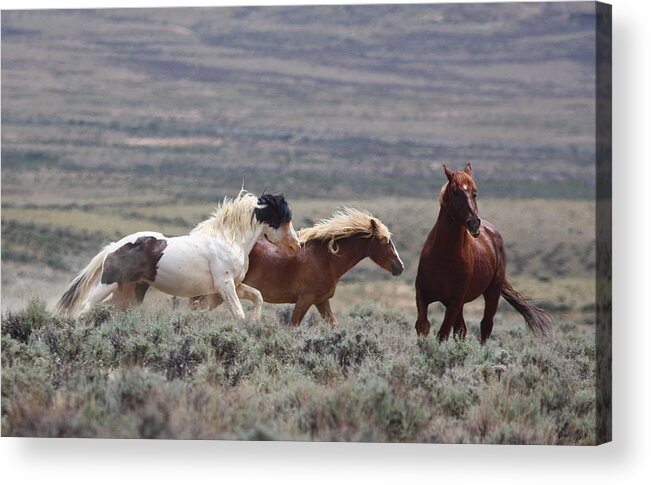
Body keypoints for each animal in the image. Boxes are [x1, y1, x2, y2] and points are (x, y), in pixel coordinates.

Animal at [56, 190, 300, 322]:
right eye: (284, 218)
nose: (296, 246)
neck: (229, 240)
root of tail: (113, 247)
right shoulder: (225, 285)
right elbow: (239, 314)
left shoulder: (235, 285)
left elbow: (258, 297)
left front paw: (255, 322)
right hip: (108, 284)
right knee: (84, 308)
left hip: (129, 293)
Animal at [191, 208, 402, 326]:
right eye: (385, 241)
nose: (399, 267)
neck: (327, 259)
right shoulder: (305, 300)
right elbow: (293, 326)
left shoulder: (322, 302)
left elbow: (334, 326)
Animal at [418, 164, 552, 344]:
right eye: (455, 192)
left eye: (475, 192)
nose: (474, 223)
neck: (443, 258)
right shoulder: (423, 296)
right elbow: (422, 326)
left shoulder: (455, 301)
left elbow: (443, 333)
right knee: (461, 329)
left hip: (491, 293)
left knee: (485, 326)